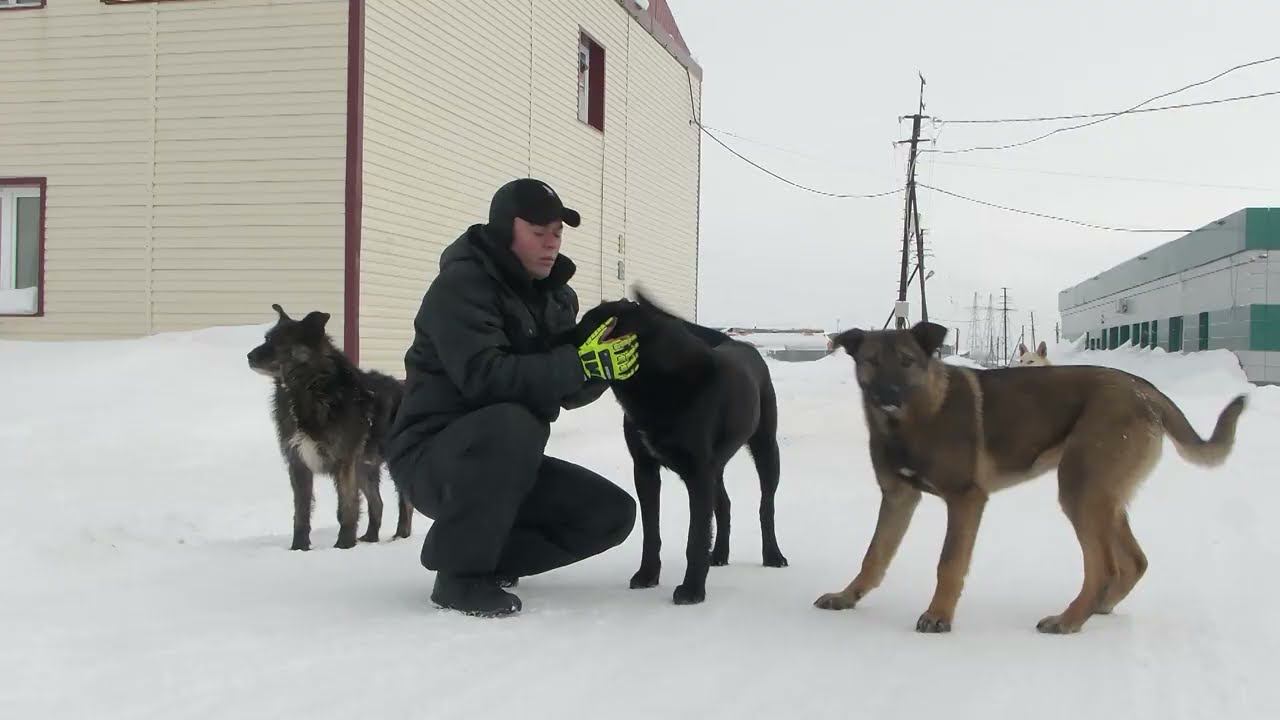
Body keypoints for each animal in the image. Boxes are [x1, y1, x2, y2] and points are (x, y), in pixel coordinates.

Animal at [247, 302, 412, 548]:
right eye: (267, 338)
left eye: (278, 341)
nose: (248, 356)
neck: (310, 388)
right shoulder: (299, 465)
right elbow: (301, 513)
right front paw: (299, 548)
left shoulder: (344, 463)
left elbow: (347, 508)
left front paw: (344, 545)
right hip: (365, 468)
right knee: (378, 502)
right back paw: (371, 537)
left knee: (405, 502)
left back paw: (401, 536)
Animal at [565, 288, 783, 602]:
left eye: (587, 325)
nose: (551, 340)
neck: (659, 382)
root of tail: (739, 344)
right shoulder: (645, 469)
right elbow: (651, 531)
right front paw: (647, 575)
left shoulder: (698, 472)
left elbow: (696, 536)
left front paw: (692, 590)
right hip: (717, 466)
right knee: (724, 504)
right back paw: (719, 554)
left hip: (766, 447)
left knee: (766, 506)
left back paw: (773, 555)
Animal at [814, 322, 1244, 630]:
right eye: (870, 360)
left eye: (906, 361)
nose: (887, 393)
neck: (912, 420)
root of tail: (1144, 389)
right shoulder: (898, 497)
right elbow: (874, 554)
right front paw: (848, 596)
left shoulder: (965, 499)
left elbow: (948, 563)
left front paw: (938, 616)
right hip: (1103, 495)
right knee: (1134, 562)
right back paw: (1096, 609)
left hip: (1080, 489)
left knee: (1104, 567)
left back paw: (1068, 620)